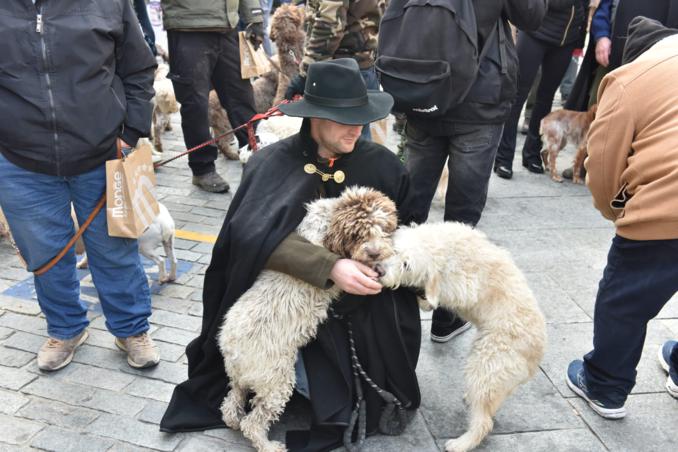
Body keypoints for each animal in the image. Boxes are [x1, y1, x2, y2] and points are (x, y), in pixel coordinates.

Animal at [218, 187, 402, 452]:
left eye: (383, 228)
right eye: (357, 235)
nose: (375, 252)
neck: (329, 223)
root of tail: (231, 350)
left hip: (242, 379)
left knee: (232, 401)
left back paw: (233, 418)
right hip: (276, 382)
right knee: (253, 423)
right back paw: (269, 445)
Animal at [380, 222, 548, 452]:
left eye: (407, 266)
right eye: (395, 251)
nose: (380, 272)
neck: (442, 248)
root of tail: (535, 357)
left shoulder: (463, 285)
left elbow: (438, 291)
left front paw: (425, 297)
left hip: (486, 366)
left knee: (484, 422)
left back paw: (461, 443)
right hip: (495, 379)